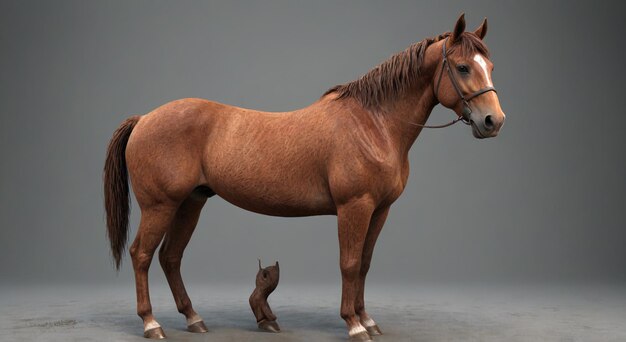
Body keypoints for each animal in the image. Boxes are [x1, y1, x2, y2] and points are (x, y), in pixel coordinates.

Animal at [102, 14, 502, 342]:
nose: (493, 121)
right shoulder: (354, 207)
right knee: (142, 255)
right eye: (463, 67)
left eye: (491, 66)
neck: (372, 124)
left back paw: (194, 319)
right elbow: (349, 264)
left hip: (191, 202)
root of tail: (145, 118)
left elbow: (365, 265)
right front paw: (354, 326)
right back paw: (151, 324)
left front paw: (368, 320)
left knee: (171, 257)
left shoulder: (380, 211)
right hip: (160, 206)